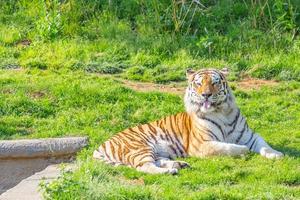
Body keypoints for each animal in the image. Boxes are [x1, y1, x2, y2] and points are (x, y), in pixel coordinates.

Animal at [94, 68, 284, 174]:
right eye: (199, 83)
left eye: (215, 83)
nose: (206, 94)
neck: (222, 112)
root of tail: (101, 145)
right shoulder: (202, 144)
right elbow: (227, 148)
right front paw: (244, 151)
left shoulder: (250, 136)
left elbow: (264, 145)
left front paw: (277, 154)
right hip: (139, 148)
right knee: (144, 167)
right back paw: (170, 171)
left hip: (154, 151)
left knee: (156, 161)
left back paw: (179, 164)